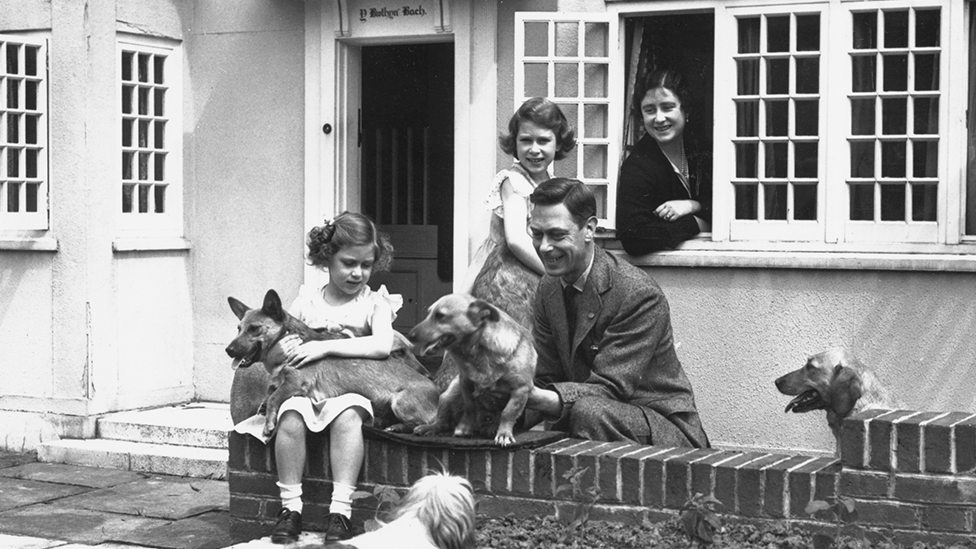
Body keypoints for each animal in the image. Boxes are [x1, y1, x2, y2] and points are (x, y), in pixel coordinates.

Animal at [408, 296, 536, 446]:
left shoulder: (521, 388)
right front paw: (465, 428)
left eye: (440, 316)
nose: (410, 335)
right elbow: (470, 407)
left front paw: (504, 433)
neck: (478, 353)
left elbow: (508, 413)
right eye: (428, 314)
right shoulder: (465, 382)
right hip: (448, 395)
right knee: (442, 422)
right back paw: (429, 428)